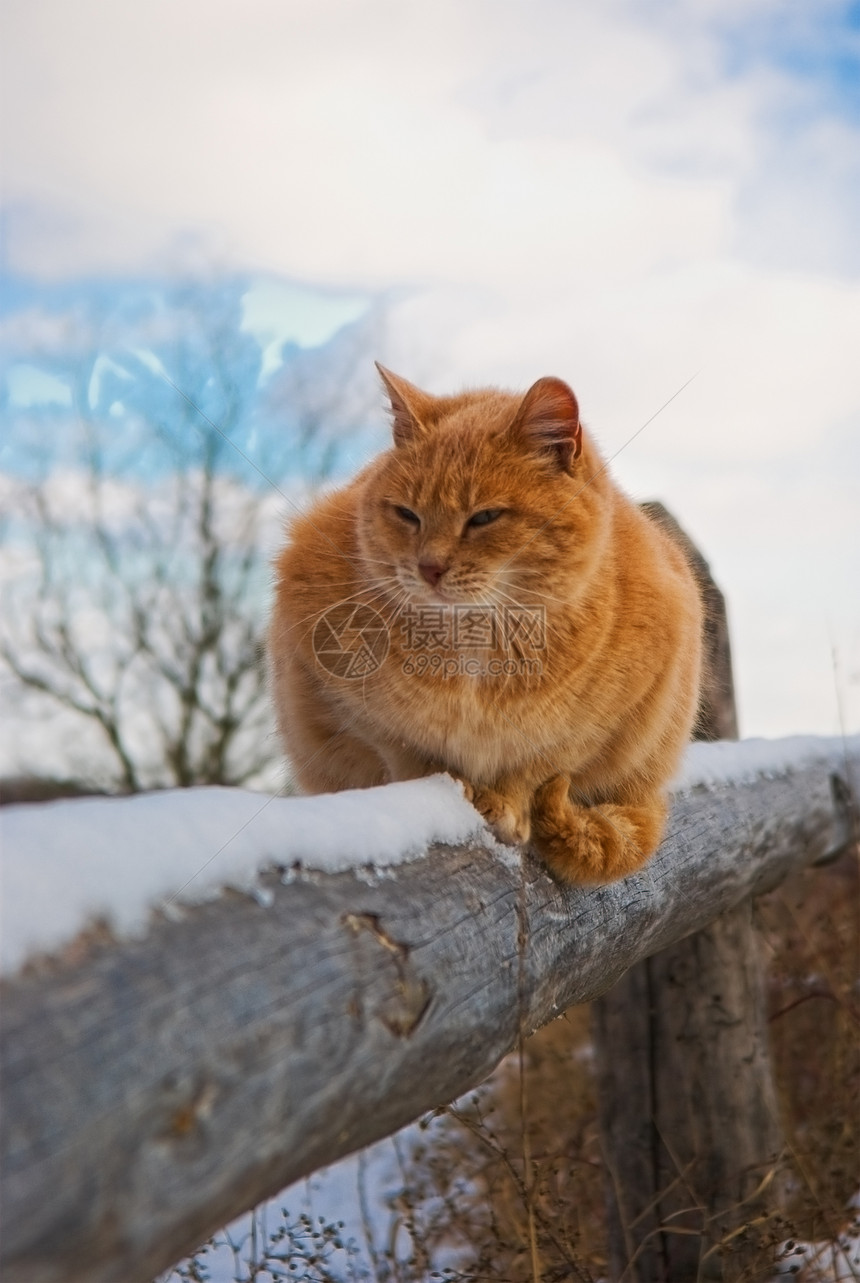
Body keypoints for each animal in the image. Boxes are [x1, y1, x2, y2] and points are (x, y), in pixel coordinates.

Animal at [268, 364, 698, 882]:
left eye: (485, 517)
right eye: (407, 514)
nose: (429, 568)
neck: (477, 639)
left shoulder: (599, 723)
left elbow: (536, 768)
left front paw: (506, 804)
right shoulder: (353, 706)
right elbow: (413, 760)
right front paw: (456, 790)